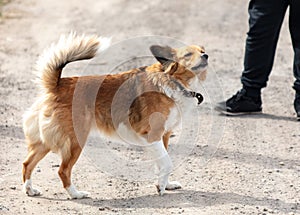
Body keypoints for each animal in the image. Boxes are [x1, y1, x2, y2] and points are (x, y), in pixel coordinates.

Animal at [22, 32, 209, 199]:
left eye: (202, 50)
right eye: (188, 54)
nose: (206, 56)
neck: (173, 80)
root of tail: (57, 84)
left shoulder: (163, 136)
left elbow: (162, 163)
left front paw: (166, 184)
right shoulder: (153, 135)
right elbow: (168, 162)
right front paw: (161, 187)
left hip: (46, 141)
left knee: (27, 164)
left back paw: (30, 190)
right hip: (75, 140)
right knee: (63, 170)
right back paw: (76, 194)